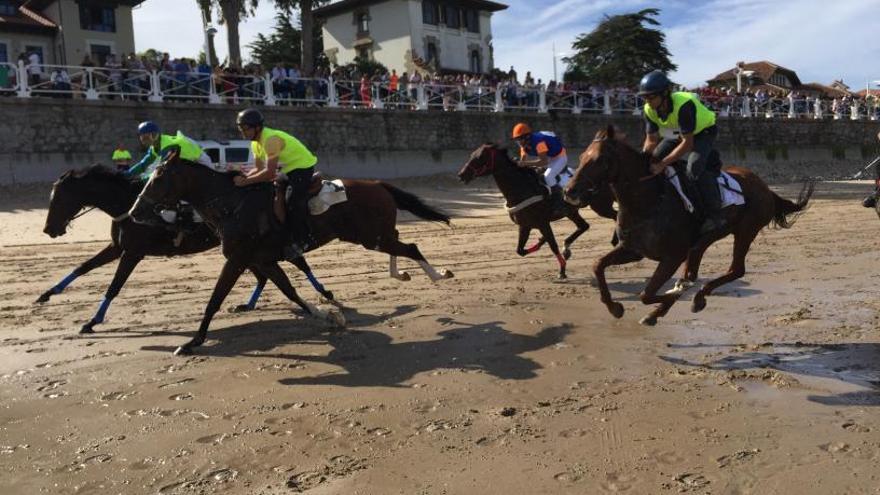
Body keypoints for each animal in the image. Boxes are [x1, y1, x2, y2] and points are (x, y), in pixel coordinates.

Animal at [38, 166, 334, 334]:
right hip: (248, 252)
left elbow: (114, 287)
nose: (49, 229)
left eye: (60, 197)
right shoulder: (118, 246)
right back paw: (249, 304)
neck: (128, 206)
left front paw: (92, 321)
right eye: (52, 197)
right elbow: (82, 267)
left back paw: (324, 292)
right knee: (265, 275)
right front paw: (47, 294)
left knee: (299, 263)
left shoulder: (133, 252)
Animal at [129, 157, 454, 354]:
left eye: (158, 179)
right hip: (372, 237)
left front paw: (192, 342)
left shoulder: (237, 260)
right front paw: (326, 314)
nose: (134, 212)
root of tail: (377, 184)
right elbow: (289, 291)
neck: (232, 204)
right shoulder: (263, 260)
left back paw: (438, 275)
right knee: (400, 243)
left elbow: (214, 300)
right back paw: (401, 273)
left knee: (411, 248)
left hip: (371, 237)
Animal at [460, 143, 620, 280]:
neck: (523, 189)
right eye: (472, 155)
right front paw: (541, 241)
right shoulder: (525, 225)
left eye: (480, 157)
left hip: (600, 206)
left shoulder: (543, 223)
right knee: (584, 226)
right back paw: (567, 247)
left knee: (615, 216)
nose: (461, 174)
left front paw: (562, 270)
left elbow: (553, 246)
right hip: (572, 211)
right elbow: (520, 250)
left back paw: (615, 241)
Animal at [564, 124, 812, 326]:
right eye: (582, 156)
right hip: (706, 239)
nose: (569, 191)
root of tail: (765, 187)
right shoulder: (633, 250)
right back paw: (693, 293)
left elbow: (647, 294)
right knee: (696, 268)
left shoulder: (672, 256)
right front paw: (615, 307)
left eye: (599, 159)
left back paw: (699, 296)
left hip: (746, 230)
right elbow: (598, 265)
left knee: (736, 269)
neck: (649, 200)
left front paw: (664, 303)